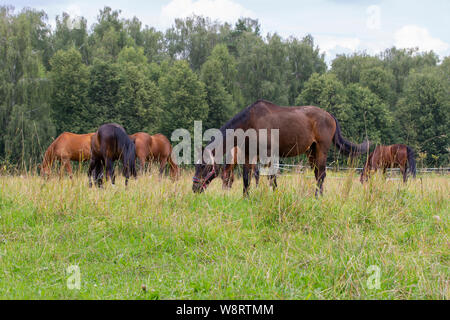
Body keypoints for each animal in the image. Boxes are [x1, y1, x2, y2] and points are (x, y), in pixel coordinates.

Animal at [193, 100, 370, 196]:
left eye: (204, 166)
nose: (195, 188)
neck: (250, 122)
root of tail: (330, 116)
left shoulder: (267, 155)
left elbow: (271, 178)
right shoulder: (249, 155)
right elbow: (246, 178)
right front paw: (246, 197)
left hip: (321, 150)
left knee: (321, 175)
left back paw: (317, 197)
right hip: (311, 152)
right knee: (317, 174)